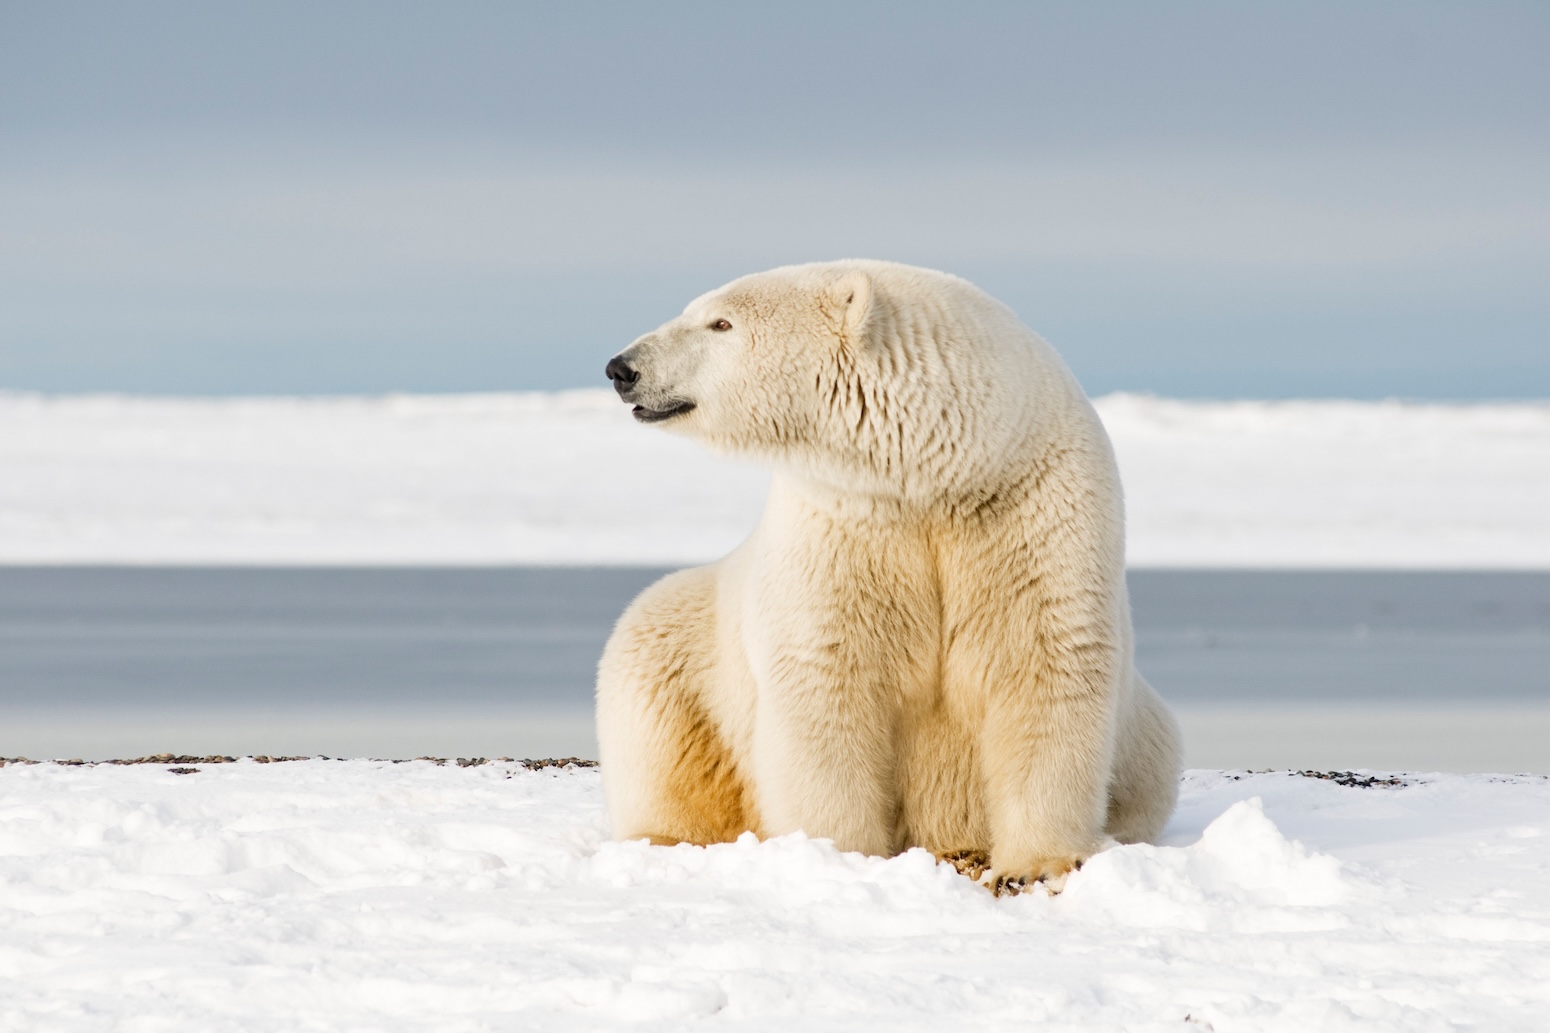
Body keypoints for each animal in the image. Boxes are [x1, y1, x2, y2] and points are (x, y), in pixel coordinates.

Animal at [592, 257, 1171, 887]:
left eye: (720, 322)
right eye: (700, 311)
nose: (622, 368)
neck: (940, 473)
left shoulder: (1033, 511)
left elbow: (1043, 662)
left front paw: (1037, 865)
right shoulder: (842, 523)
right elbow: (826, 676)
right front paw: (839, 854)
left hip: (1147, 737)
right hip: (684, 643)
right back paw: (665, 837)